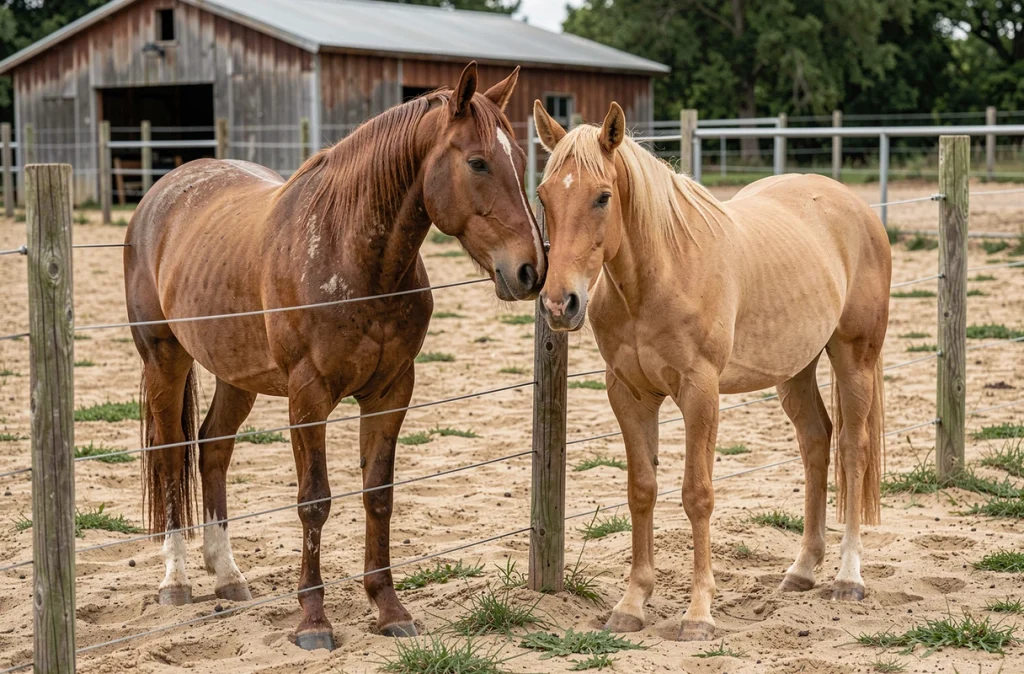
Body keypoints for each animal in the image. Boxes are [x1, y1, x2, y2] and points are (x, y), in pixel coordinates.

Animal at [122, 62, 546, 650]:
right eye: (478, 162)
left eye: (520, 159)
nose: (532, 270)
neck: (351, 254)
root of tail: (161, 193)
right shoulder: (308, 397)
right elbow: (314, 502)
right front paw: (313, 621)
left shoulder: (391, 392)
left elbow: (379, 495)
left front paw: (389, 610)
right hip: (164, 359)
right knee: (168, 455)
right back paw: (176, 580)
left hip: (237, 375)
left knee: (213, 449)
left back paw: (227, 576)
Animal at [531, 100, 889, 641]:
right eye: (543, 195)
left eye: (603, 197)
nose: (560, 303)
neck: (659, 275)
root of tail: (856, 207)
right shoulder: (629, 394)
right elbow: (641, 491)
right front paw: (631, 605)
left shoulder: (701, 393)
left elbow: (697, 495)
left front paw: (698, 614)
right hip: (796, 368)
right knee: (816, 441)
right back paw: (802, 570)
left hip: (854, 358)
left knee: (852, 450)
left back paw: (849, 577)